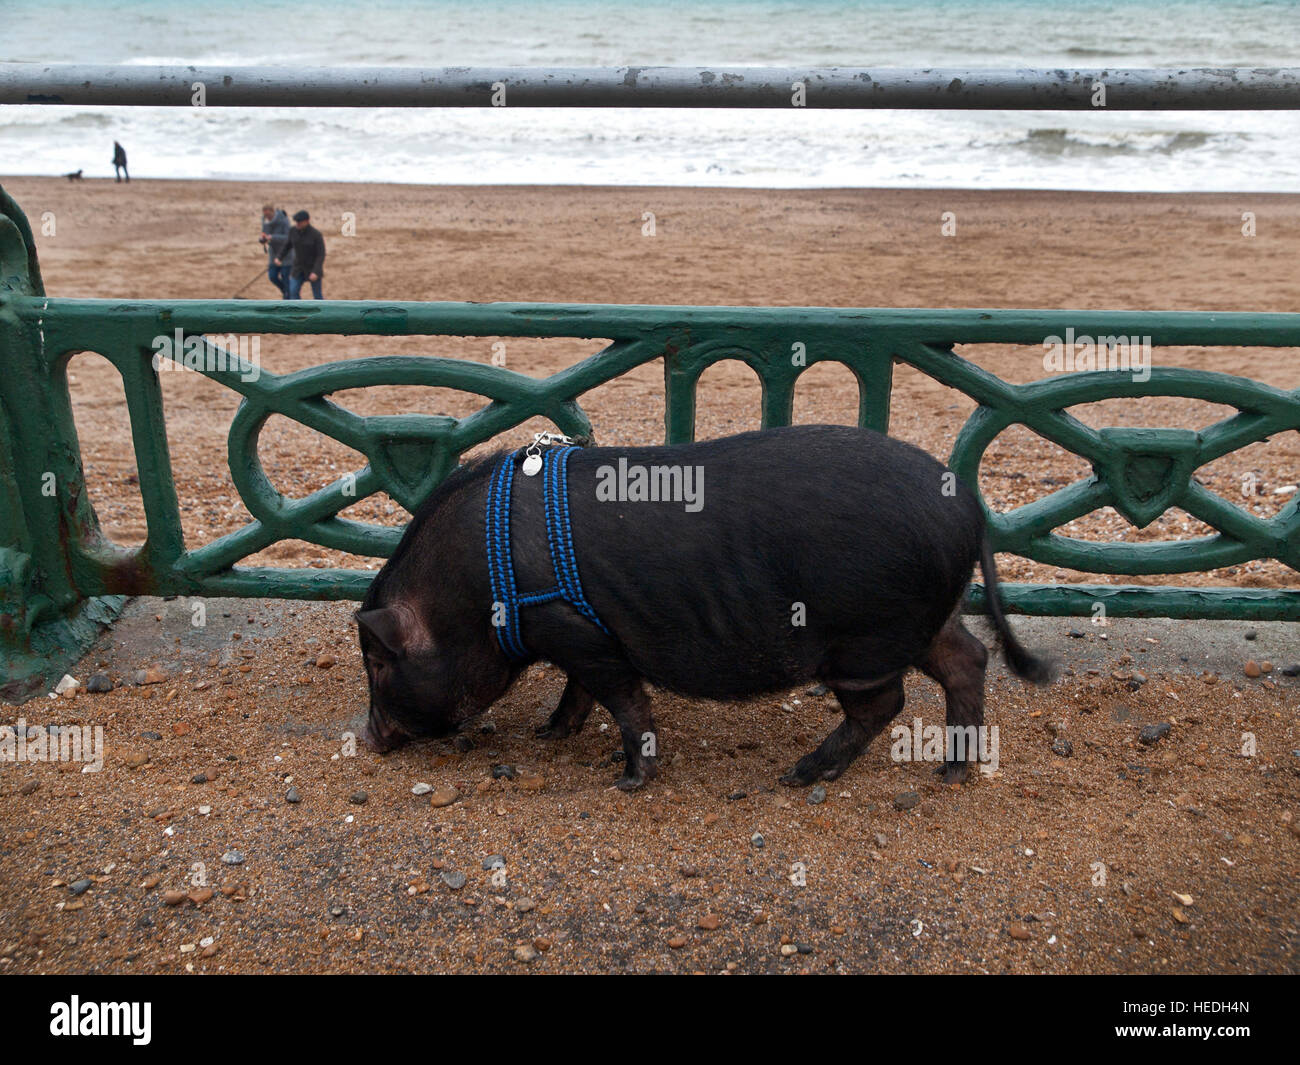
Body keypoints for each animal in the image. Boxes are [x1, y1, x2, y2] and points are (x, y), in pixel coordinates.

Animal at [358, 426, 1055, 790]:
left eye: (380, 663)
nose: (366, 739)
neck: (479, 595)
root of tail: (968, 506)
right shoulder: (579, 635)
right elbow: (579, 693)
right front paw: (549, 734)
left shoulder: (577, 631)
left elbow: (623, 700)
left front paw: (628, 782)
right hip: (923, 622)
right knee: (969, 658)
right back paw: (952, 774)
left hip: (863, 639)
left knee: (885, 702)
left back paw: (801, 775)